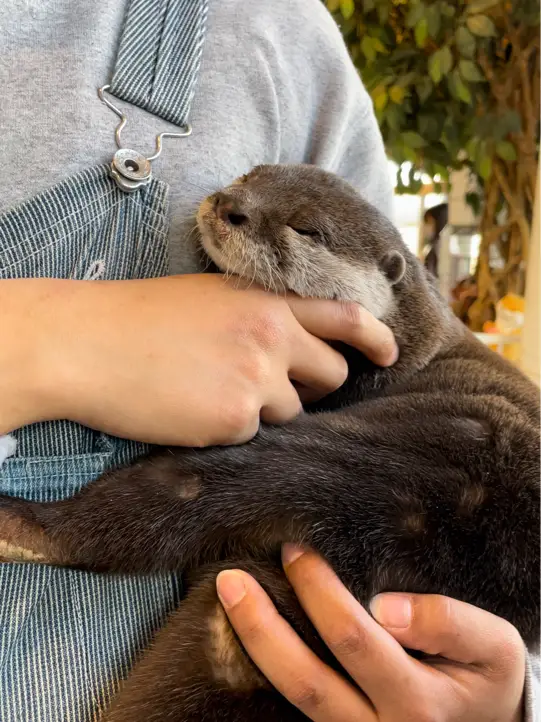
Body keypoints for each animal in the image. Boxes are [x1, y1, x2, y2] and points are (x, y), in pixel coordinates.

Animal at [0, 165, 536, 720]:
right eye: (251, 175)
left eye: (308, 229)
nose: (231, 205)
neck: (410, 348)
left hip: (347, 457)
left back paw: (23, 524)